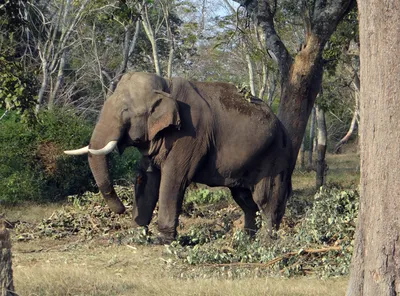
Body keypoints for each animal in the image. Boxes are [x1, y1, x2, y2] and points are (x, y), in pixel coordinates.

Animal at [64, 71, 292, 243]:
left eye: (126, 112)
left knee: (266, 198)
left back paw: (266, 241)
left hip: (275, 156)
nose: (121, 210)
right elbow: (147, 178)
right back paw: (246, 240)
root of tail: (283, 127)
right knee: (244, 199)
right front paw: (135, 236)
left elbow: (173, 178)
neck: (166, 85)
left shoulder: (191, 133)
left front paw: (161, 240)